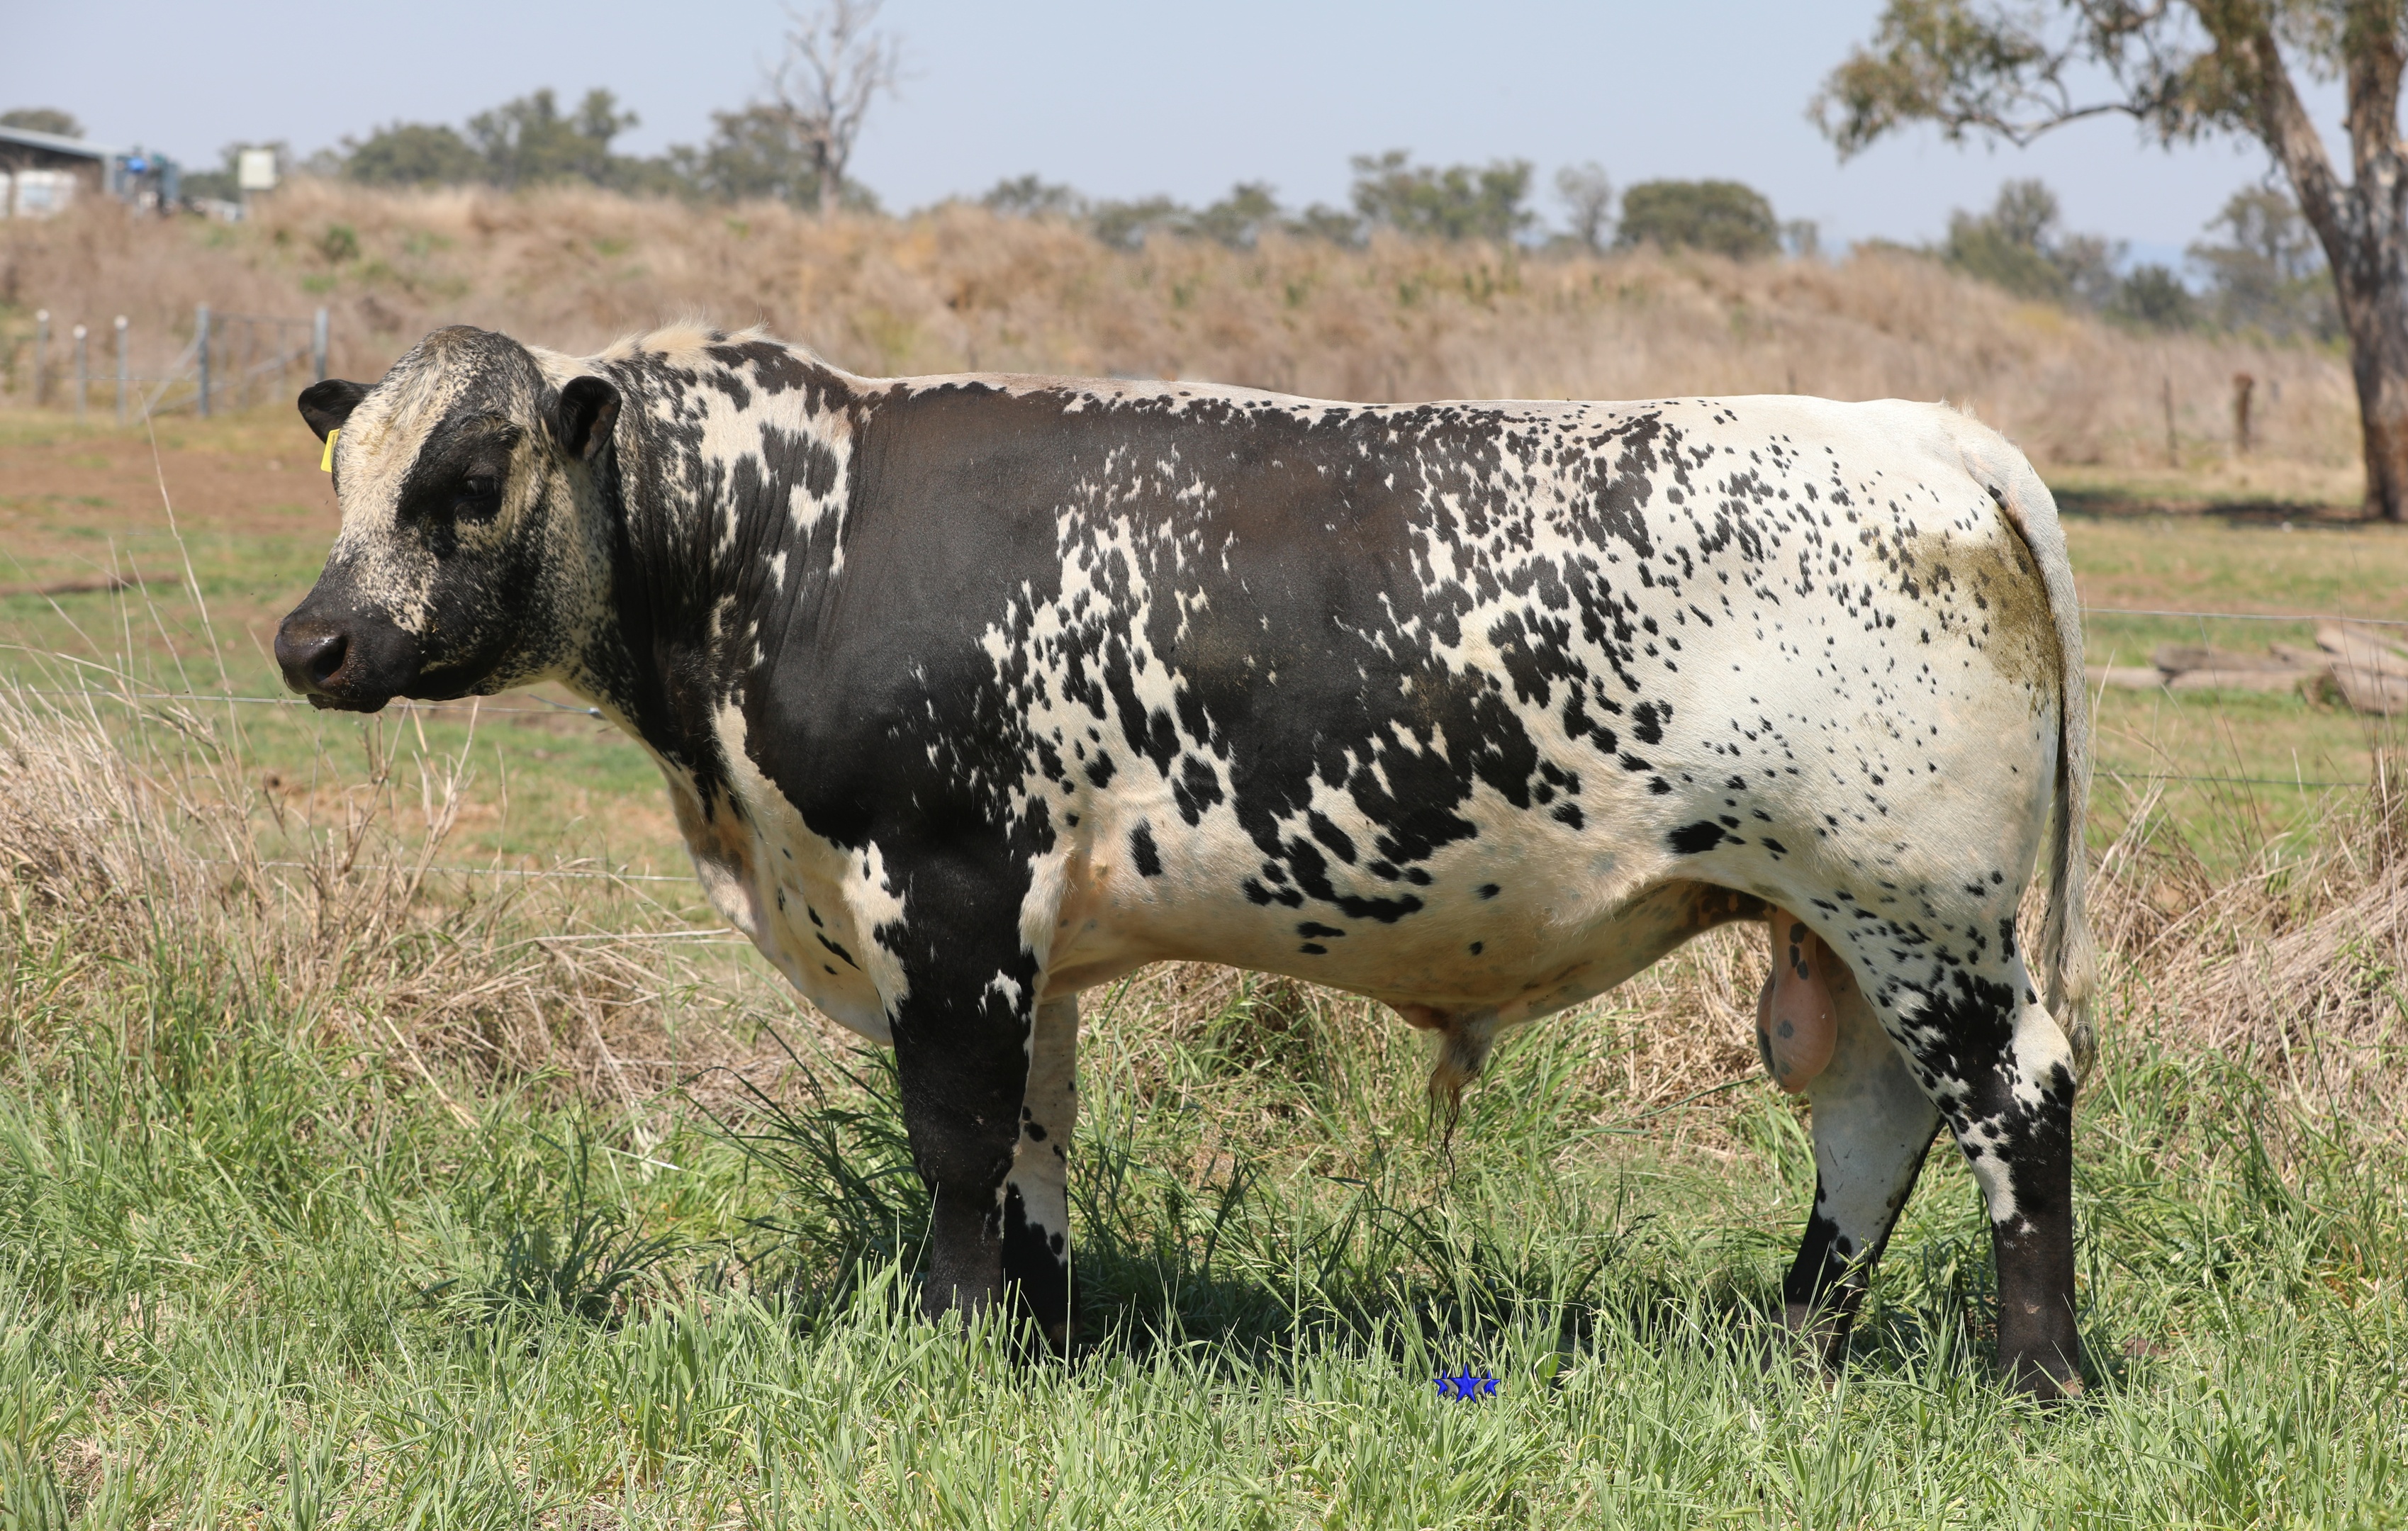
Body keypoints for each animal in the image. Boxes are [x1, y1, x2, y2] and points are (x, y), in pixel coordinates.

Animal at [275, 324, 2096, 1398]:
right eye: (344, 473)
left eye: (469, 479)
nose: (312, 640)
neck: (790, 539)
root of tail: (1918, 435)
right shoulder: (1025, 940)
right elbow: (1031, 1152)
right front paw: (1039, 1341)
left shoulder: (941, 902)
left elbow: (952, 1141)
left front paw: (951, 1351)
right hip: (1838, 928)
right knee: (1870, 1126)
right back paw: (1791, 1345)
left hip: (1922, 915)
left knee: (2018, 1101)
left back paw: (2038, 1371)